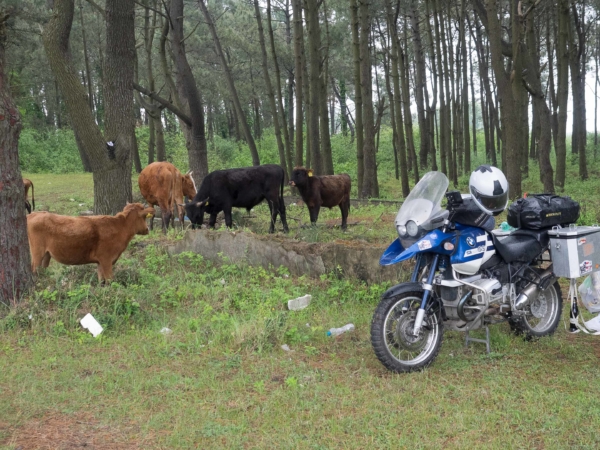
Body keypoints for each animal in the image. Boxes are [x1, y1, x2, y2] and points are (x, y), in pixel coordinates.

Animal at [27, 203, 155, 284]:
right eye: (144, 216)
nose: (147, 229)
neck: (119, 227)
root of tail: (34, 214)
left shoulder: (100, 262)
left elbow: (101, 281)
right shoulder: (106, 259)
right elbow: (110, 280)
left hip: (46, 255)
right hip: (37, 252)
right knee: (33, 269)